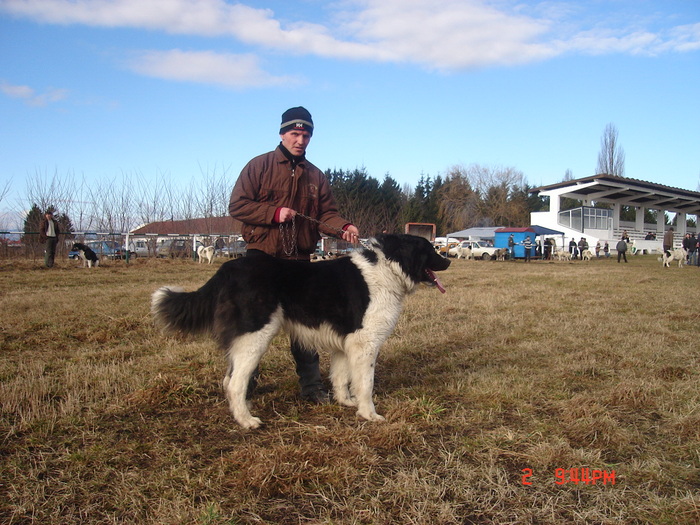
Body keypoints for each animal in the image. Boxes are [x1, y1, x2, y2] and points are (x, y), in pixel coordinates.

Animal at [150, 234, 452, 430]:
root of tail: (228, 267)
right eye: (431, 250)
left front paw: (346, 403)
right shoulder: (364, 343)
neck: (389, 268)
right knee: (235, 383)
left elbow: (341, 377)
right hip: (255, 337)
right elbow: (365, 383)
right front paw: (369, 414)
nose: (448, 261)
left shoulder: (345, 343)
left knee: (228, 380)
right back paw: (247, 421)